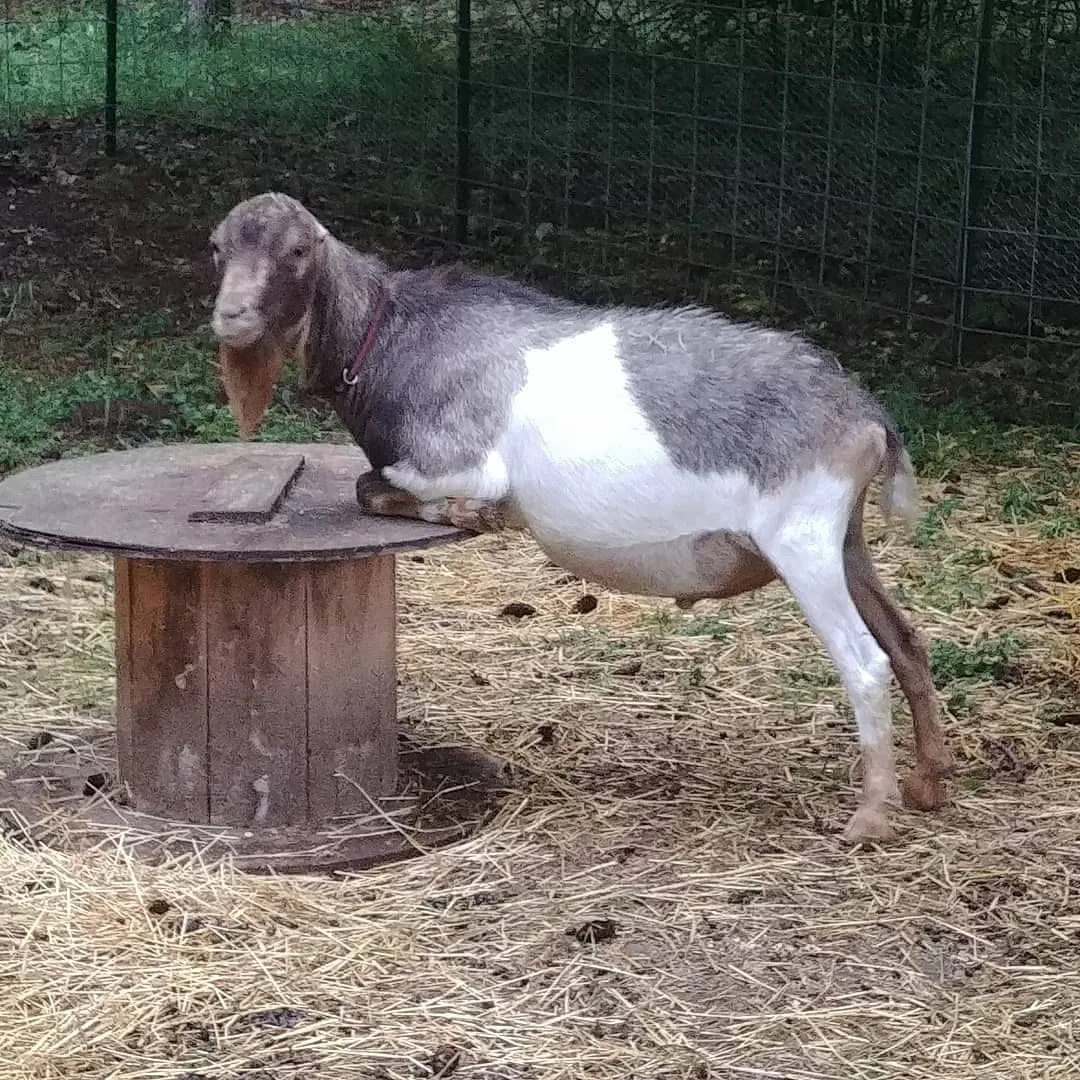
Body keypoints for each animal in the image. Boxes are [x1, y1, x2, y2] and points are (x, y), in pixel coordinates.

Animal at [208, 191, 955, 844]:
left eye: (298, 249)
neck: (393, 335)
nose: (233, 316)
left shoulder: (456, 462)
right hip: (845, 541)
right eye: (218, 247)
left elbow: (375, 489)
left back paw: (869, 819)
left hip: (802, 542)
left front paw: (472, 514)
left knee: (865, 661)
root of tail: (865, 416)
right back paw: (928, 787)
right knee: (906, 641)